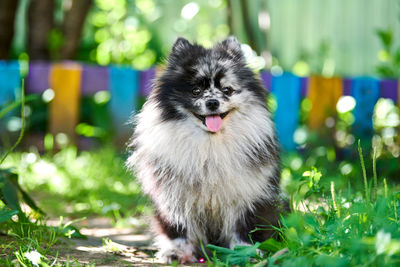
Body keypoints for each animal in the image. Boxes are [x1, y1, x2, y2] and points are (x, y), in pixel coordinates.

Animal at [127, 36, 288, 264]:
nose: (212, 102)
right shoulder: (174, 197)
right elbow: (179, 229)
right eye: (196, 91)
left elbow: (244, 227)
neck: (210, 145)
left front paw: (245, 252)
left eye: (227, 90)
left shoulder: (248, 193)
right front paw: (177, 253)